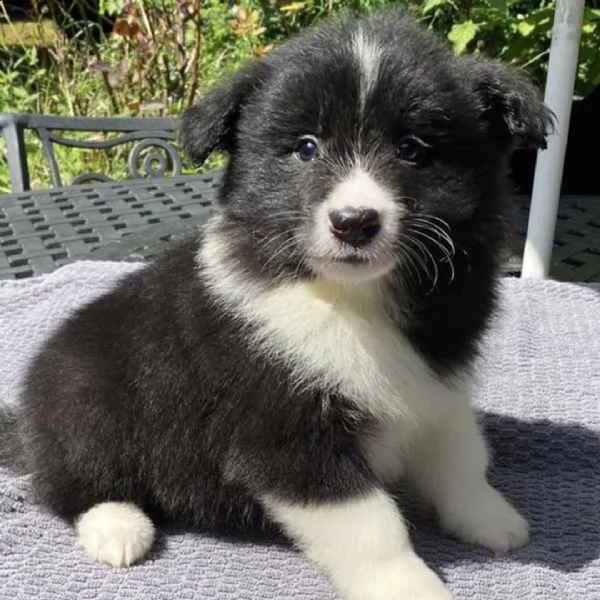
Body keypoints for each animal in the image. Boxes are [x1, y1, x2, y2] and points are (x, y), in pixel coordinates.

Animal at [14, 9, 552, 600]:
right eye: (306, 148)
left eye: (411, 148)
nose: (354, 222)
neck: (347, 296)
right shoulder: (284, 432)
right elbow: (370, 521)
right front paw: (407, 584)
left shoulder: (437, 383)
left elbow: (461, 456)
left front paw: (489, 518)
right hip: (84, 400)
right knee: (69, 483)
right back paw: (117, 526)